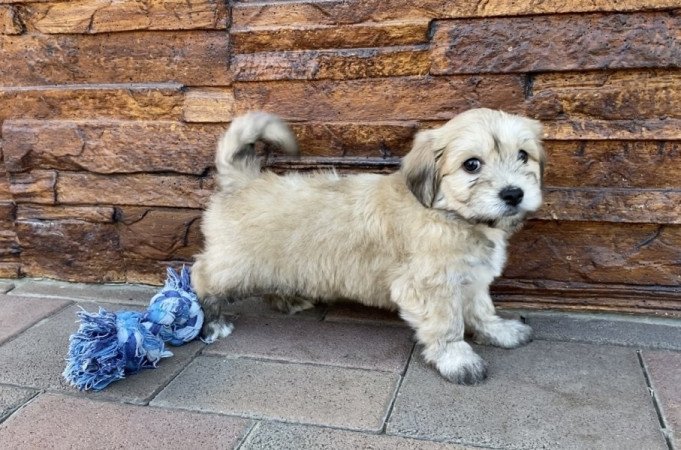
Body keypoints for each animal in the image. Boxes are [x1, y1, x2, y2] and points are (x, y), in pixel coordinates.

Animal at [194, 108, 544, 384]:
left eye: (523, 155)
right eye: (472, 164)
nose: (513, 193)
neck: (449, 214)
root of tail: (245, 180)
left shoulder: (471, 279)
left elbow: (482, 310)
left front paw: (500, 332)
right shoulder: (430, 287)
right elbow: (447, 324)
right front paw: (458, 359)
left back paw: (287, 300)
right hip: (237, 263)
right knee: (202, 275)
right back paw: (213, 322)